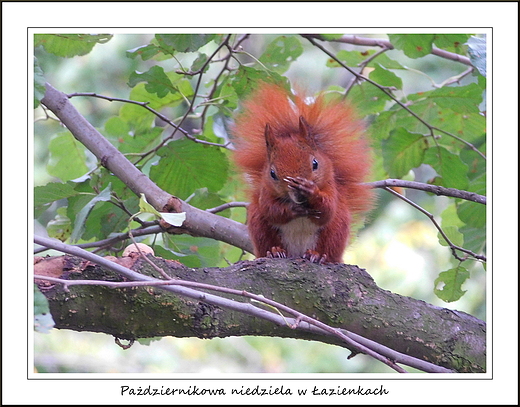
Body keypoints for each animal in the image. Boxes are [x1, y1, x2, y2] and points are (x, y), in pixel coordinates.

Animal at [232, 83, 374, 264]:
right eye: (272, 173)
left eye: (315, 163)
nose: (298, 194)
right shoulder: (265, 192)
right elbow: (271, 210)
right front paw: (292, 209)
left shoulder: (331, 188)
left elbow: (327, 209)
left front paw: (311, 191)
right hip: (260, 226)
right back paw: (274, 252)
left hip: (335, 230)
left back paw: (318, 255)